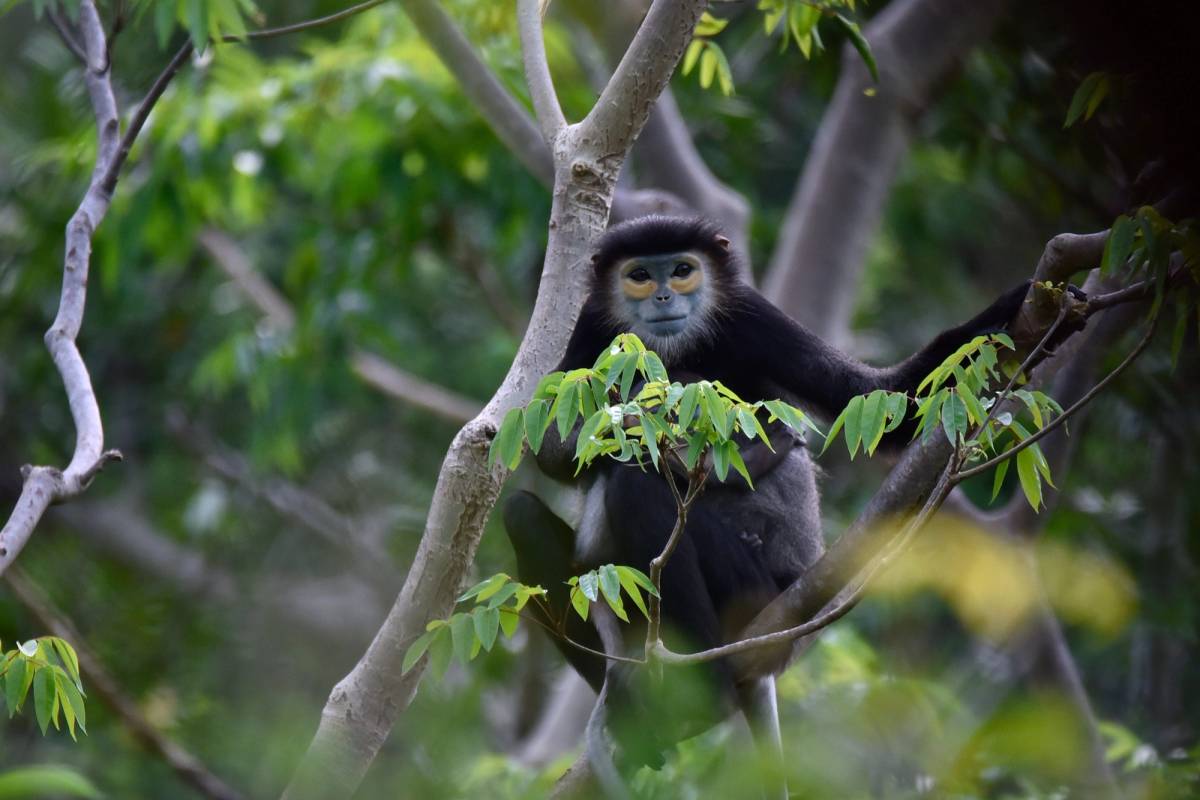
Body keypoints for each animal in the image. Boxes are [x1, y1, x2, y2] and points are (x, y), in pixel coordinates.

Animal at [502, 215, 1032, 795]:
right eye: (639, 275)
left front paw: (1013, 305)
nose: (663, 295)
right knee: (524, 514)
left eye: (683, 270)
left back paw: (700, 689)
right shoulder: (593, 327)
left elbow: (878, 398)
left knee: (633, 487)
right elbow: (550, 448)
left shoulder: (752, 316)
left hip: (757, 595)